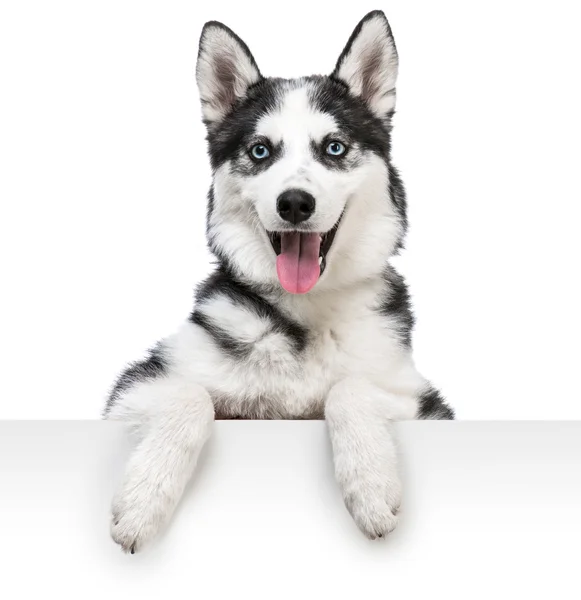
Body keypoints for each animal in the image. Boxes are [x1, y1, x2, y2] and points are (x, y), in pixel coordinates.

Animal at [104, 9, 454, 552]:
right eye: (260, 151)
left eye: (334, 147)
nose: (294, 203)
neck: (305, 317)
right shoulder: (135, 386)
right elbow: (189, 396)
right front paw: (143, 500)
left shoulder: (421, 400)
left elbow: (349, 388)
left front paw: (371, 485)